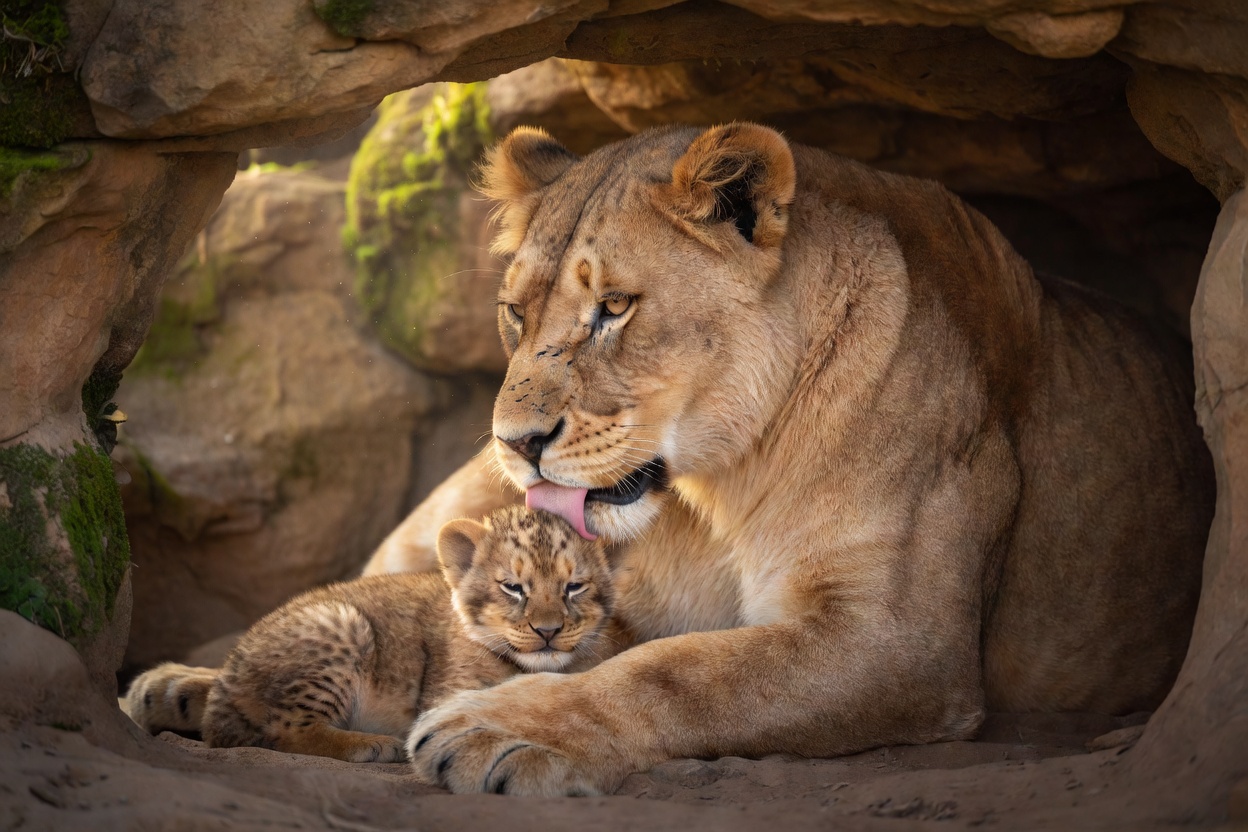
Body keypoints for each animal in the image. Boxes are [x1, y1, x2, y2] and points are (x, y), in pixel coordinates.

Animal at [366, 123, 1214, 797]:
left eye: (614, 308)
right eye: (515, 312)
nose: (515, 443)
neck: (717, 490)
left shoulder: (899, 643)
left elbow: (682, 671)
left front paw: (495, 728)